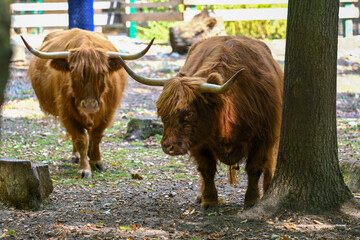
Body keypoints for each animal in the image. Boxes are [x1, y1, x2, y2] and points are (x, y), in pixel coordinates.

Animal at [21, 27, 153, 178]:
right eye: (73, 74)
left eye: (102, 74)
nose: (89, 105)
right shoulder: (67, 114)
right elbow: (80, 139)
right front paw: (85, 168)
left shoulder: (107, 114)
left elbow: (96, 136)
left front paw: (96, 161)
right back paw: (76, 155)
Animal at [116, 34, 282, 209]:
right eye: (162, 112)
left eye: (188, 114)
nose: (168, 146)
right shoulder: (199, 141)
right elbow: (206, 169)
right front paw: (209, 200)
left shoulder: (264, 137)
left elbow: (255, 168)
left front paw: (251, 200)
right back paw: (199, 196)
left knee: (270, 163)